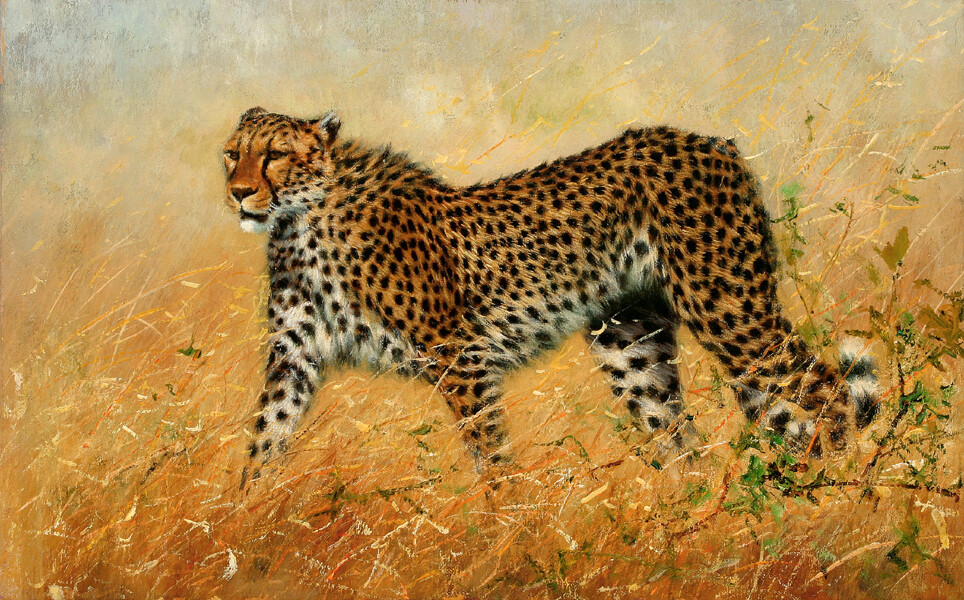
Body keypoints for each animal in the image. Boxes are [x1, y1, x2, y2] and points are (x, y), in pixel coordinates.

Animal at [222, 107, 879, 482]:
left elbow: (491, 460)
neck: (299, 220)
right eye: (233, 153)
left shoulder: (460, 358)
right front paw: (246, 521)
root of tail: (707, 140)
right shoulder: (295, 357)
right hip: (630, 344)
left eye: (274, 155)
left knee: (827, 388)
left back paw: (837, 492)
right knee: (681, 441)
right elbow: (266, 439)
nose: (237, 192)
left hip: (728, 309)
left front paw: (507, 533)